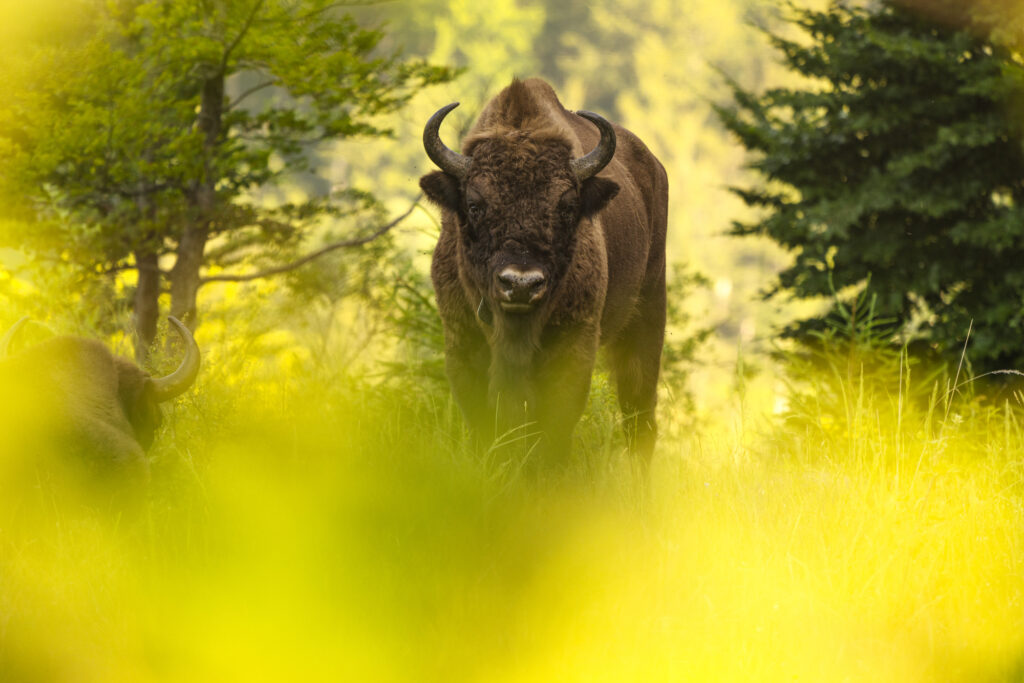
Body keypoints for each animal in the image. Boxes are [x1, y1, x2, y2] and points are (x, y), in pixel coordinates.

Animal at [420, 78, 669, 463]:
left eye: (566, 206)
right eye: (474, 204)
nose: (521, 284)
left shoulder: (573, 346)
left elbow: (550, 433)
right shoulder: (463, 344)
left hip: (648, 317)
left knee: (639, 419)